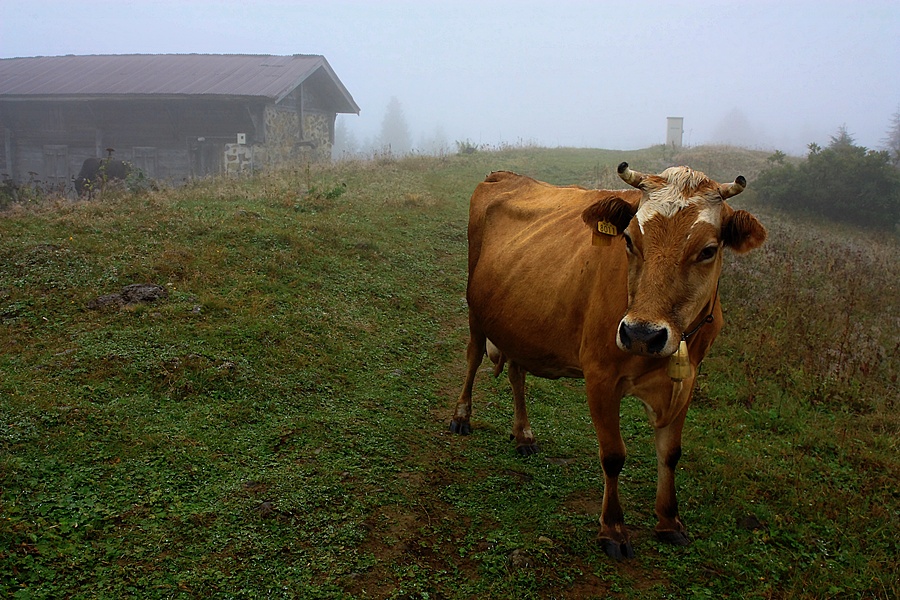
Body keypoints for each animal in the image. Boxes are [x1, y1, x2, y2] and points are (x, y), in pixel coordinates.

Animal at [450, 162, 768, 560]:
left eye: (708, 250)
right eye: (630, 240)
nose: (642, 334)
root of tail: (503, 174)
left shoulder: (689, 379)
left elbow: (671, 453)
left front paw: (669, 521)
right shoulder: (600, 376)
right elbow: (614, 455)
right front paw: (613, 529)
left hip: (521, 323)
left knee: (516, 373)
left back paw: (523, 434)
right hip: (476, 312)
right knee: (473, 357)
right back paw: (462, 416)